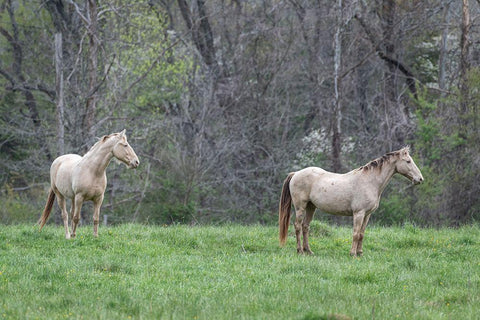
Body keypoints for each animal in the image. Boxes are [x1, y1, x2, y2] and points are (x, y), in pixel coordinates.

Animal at [280, 148, 422, 258]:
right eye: (408, 161)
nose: (420, 179)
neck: (370, 181)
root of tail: (296, 173)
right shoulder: (359, 213)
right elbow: (355, 233)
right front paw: (353, 254)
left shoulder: (367, 215)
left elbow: (362, 234)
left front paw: (360, 253)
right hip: (300, 207)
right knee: (298, 226)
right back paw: (300, 251)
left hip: (311, 207)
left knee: (305, 227)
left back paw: (308, 251)